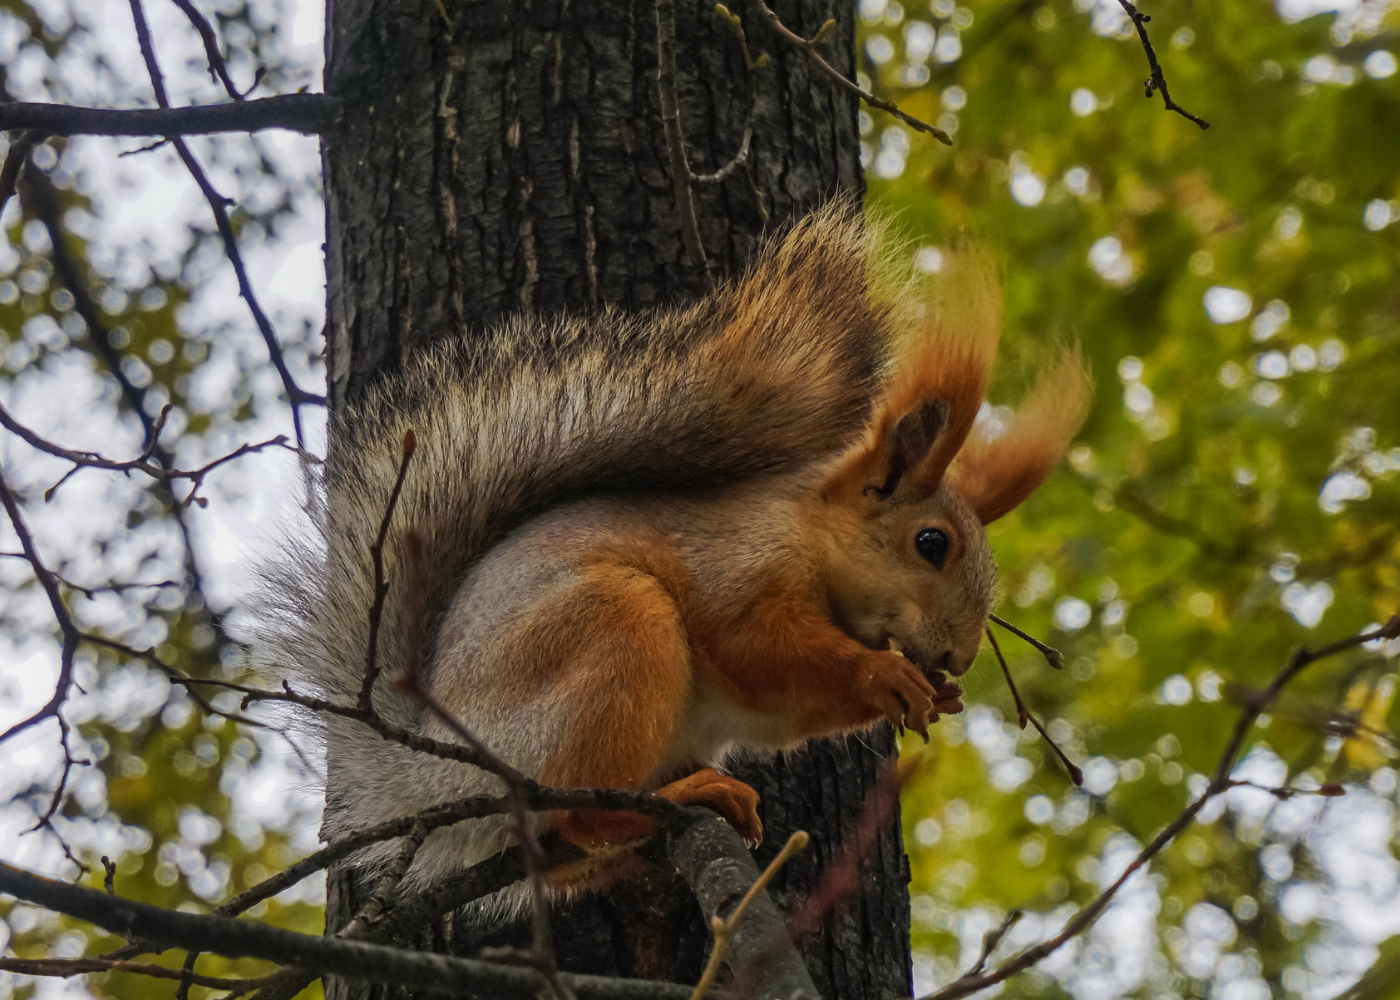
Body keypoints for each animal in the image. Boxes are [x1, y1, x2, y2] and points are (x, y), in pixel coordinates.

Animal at [249, 203, 1092, 896]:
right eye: (931, 544)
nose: (958, 658)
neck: (811, 538)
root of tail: (431, 772)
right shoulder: (736, 570)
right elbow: (756, 646)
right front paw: (881, 673)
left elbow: (785, 713)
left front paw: (934, 695)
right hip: (611, 629)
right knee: (576, 814)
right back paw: (676, 800)